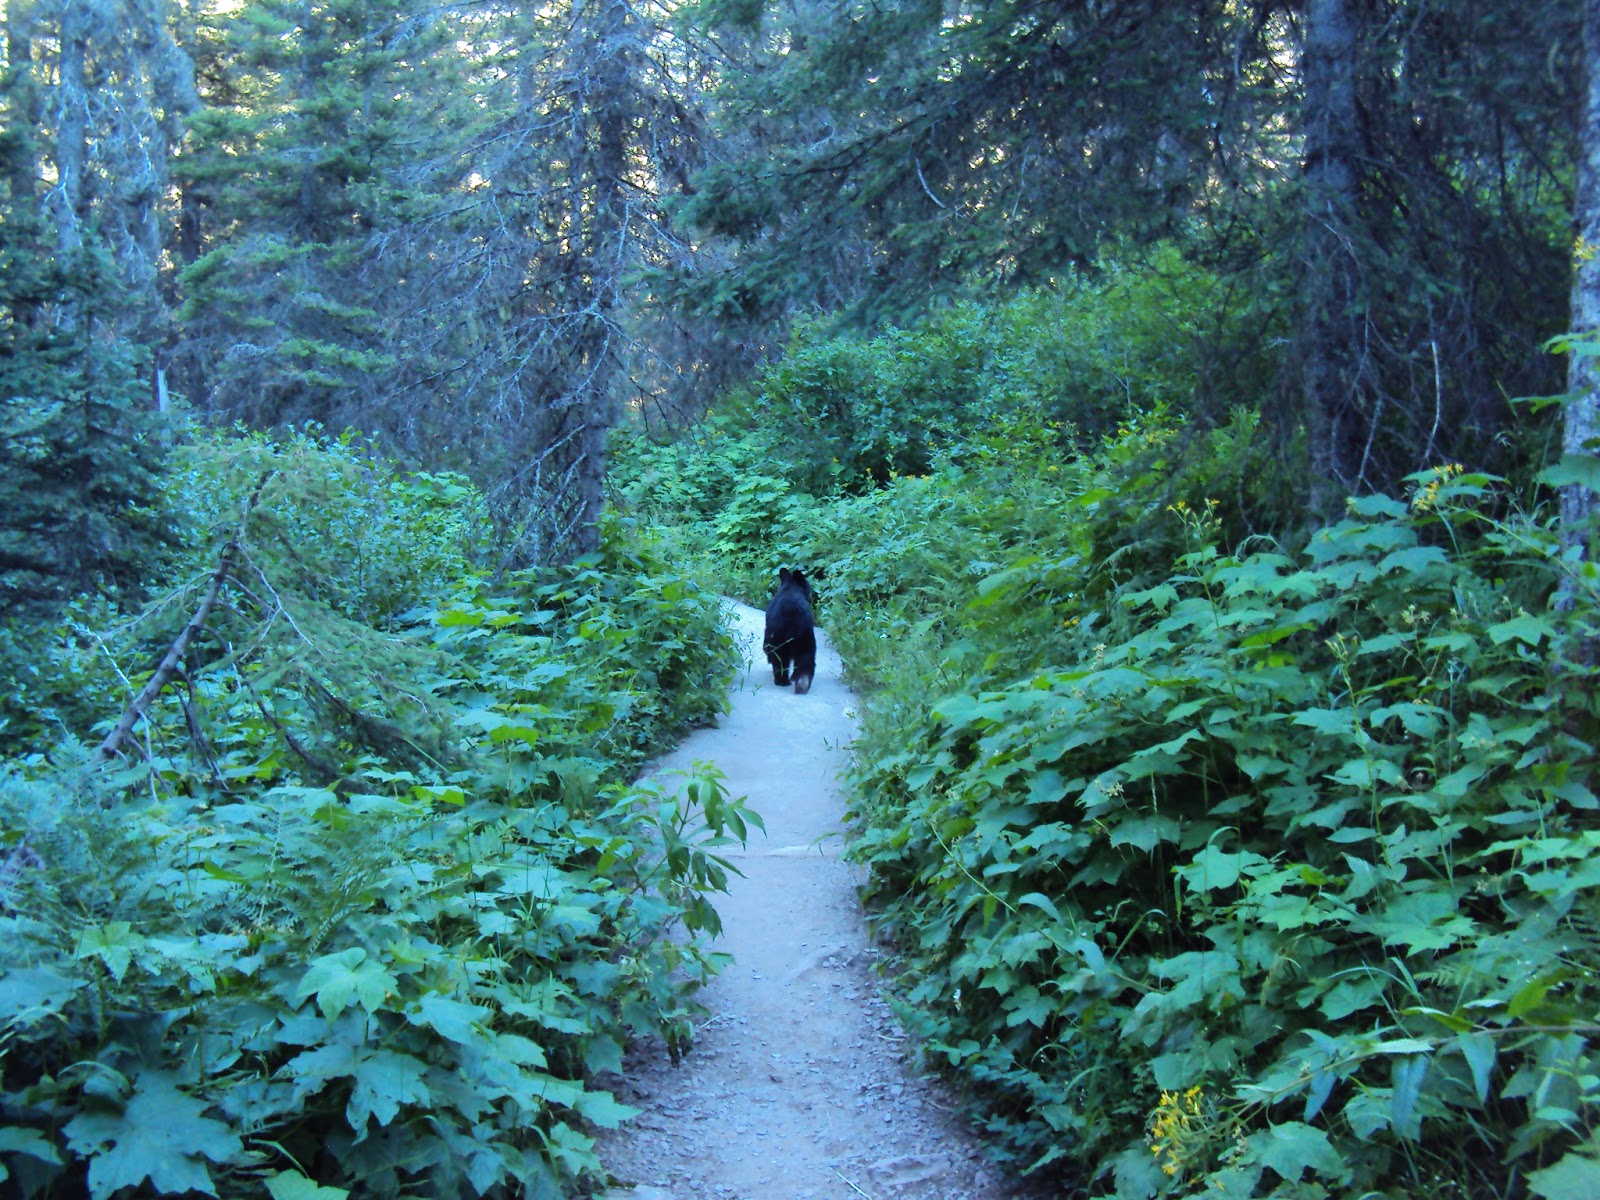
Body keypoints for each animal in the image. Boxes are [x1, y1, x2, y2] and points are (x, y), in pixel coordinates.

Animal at [763, 567, 817, 695]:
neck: (791, 588)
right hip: (807, 638)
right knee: (807, 659)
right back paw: (802, 685)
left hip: (780, 640)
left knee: (780, 660)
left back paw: (781, 681)